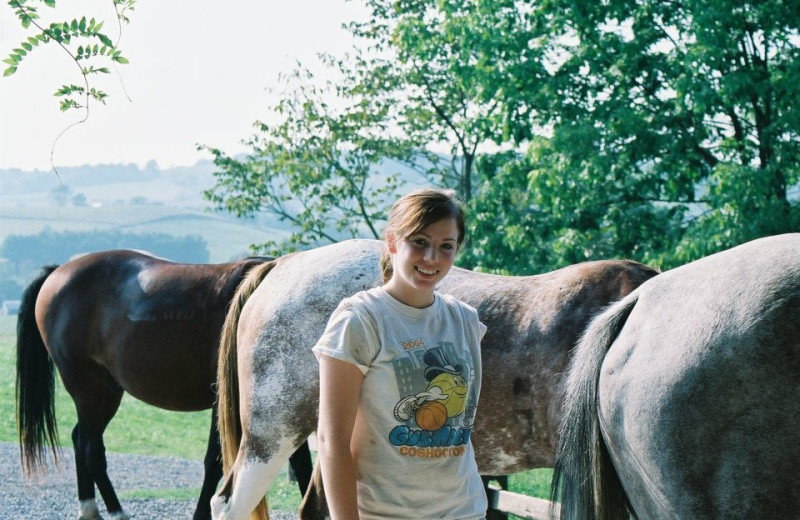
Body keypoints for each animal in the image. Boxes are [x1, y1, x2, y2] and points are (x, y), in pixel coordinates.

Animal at [14, 250, 312, 516]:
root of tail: (58, 272)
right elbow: (214, 464)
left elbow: (302, 465)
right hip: (89, 388)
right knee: (92, 450)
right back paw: (116, 512)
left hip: (105, 393)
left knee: (80, 439)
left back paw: (89, 509)